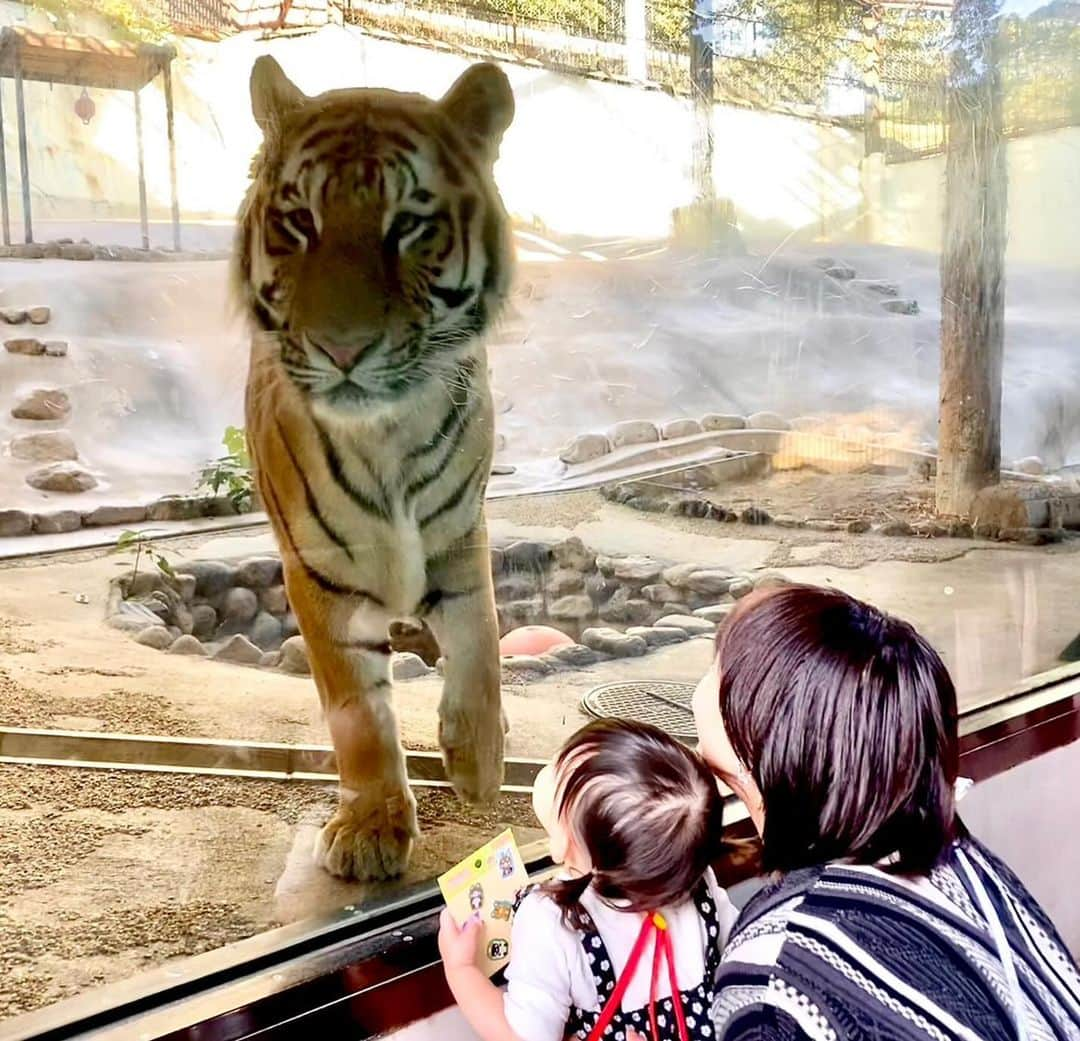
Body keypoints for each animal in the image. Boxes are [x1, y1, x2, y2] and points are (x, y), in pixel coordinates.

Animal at [231, 56, 514, 881]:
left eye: (409, 224)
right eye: (299, 221)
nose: (343, 347)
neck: (388, 428)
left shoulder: (461, 530)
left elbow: (482, 641)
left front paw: (479, 760)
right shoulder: (319, 570)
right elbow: (358, 712)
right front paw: (370, 827)